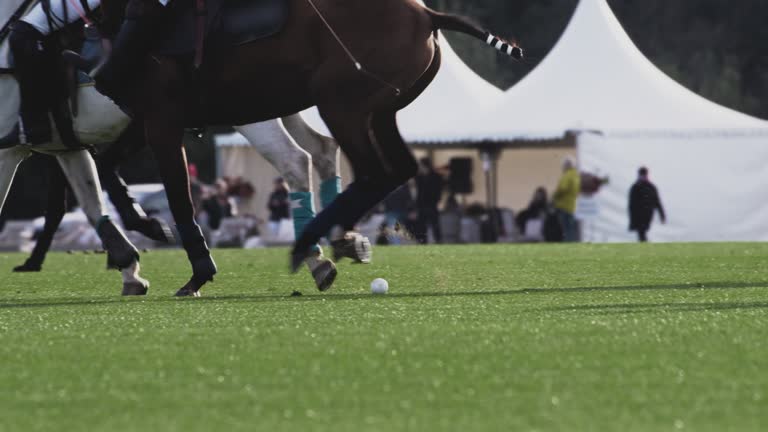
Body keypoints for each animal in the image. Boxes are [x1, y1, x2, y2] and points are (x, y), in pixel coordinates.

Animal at [103, 0, 520, 296]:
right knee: (396, 169)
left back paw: (310, 242)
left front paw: (196, 273)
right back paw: (331, 241)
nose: (100, 75)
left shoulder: (162, 120)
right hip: (381, 110)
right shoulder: (145, 119)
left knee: (372, 170)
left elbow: (178, 198)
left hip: (341, 102)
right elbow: (109, 168)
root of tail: (427, 14)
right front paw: (145, 227)